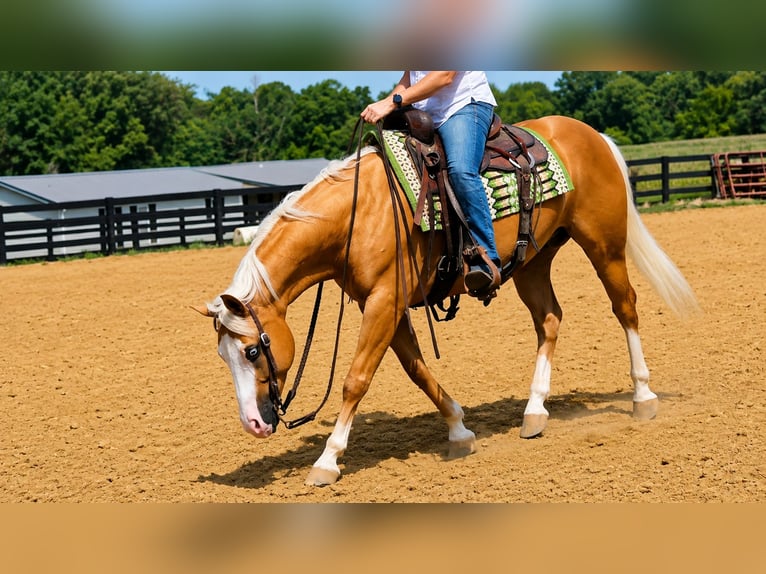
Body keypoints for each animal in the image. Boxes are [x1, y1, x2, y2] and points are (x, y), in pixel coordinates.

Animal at [195, 115, 699, 486]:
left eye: (252, 350)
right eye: (222, 356)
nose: (253, 424)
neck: (358, 214)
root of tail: (593, 135)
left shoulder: (384, 301)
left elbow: (356, 379)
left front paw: (327, 461)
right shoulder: (388, 304)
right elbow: (417, 370)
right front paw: (459, 430)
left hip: (604, 244)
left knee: (625, 307)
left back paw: (643, 396)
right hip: (533, 261)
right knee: (550, 320)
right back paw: (534, 411)